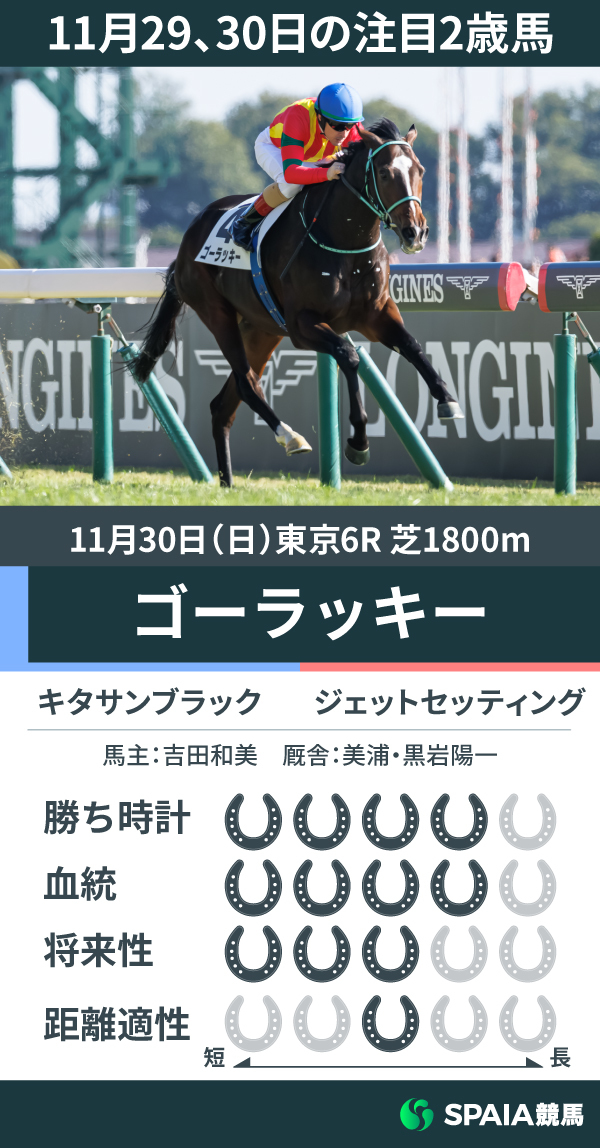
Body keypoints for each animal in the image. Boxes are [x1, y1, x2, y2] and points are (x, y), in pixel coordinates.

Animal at [136, 117, 462, 487]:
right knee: (247, 384)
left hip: (261, 330)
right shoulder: (302, 325)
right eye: (384, 173)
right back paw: (290, 437)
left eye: (420, 170)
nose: (415, 232)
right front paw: (358, 441)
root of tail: (187, 239)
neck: (345, 243)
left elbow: (412, 346)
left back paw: (228, 482)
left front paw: (447, 399)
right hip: (217, 313)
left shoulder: (377, 315)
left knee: (222, 405)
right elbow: (349, 356)